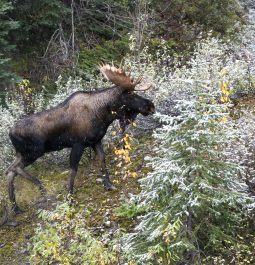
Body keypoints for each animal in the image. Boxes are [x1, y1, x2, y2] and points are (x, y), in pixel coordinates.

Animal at [4, 64, 154, 212]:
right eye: (130, 94)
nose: (150, 105)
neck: (103, 114)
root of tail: (10, 133)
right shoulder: (78, 144)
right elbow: (73, 169)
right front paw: (69, 198)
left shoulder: (95, 141)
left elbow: (102, 159)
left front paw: (108, 184)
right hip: (33, 152)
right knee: (12, 169)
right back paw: (40, 187)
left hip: (22, 153)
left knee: (9, 172)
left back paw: (15, 207)